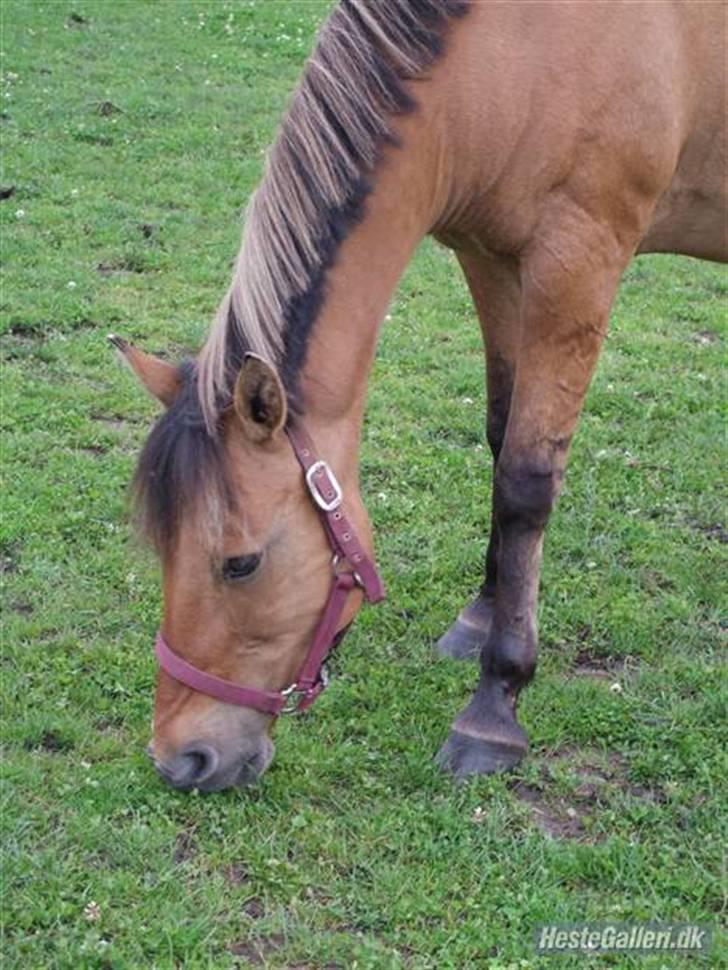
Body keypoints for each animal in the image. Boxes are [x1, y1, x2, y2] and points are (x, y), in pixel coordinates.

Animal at [112, 0, 726, 791]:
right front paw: (481, 616)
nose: (181, 758)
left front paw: (494, 707)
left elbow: (527, 481)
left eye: (240, 564)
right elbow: (498, 438)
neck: (519, 50)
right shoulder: (490, 257)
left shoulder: (577, 265)